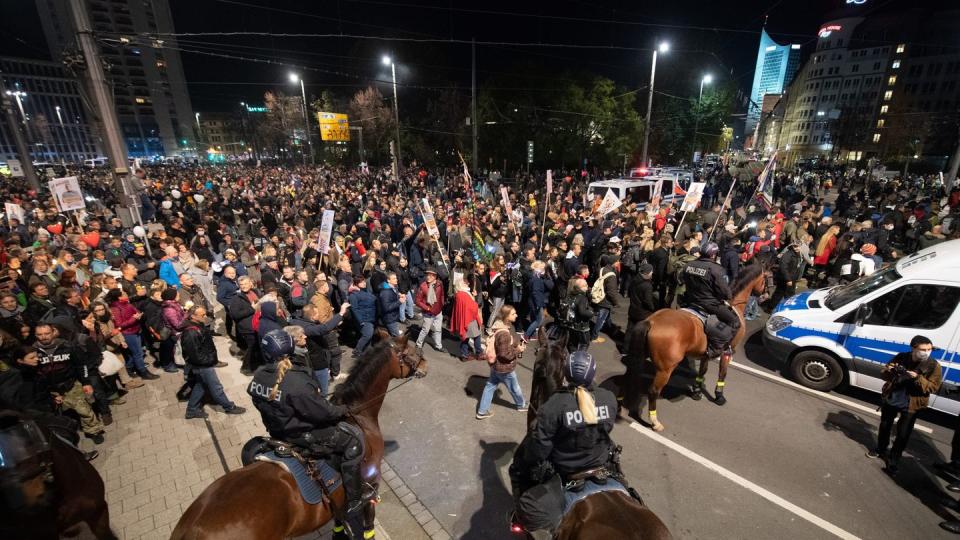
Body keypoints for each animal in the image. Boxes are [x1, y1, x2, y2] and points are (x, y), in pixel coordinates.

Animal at [171, 334, 426, 540]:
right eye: (413, 352)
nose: (425, 364)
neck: (359, 417)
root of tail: (191, 530)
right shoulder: (371, 486)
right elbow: (367, 523)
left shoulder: (338, 499)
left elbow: (339, 521)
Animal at [624, 262, 772, 430]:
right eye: (768, 277)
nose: (766, 296)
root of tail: (652, 321)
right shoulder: (727, 352)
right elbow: (722, 374)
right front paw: (719, 396)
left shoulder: (705, 354)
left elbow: (702, 371)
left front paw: (696, 391)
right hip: (665, 370)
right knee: (653, 391)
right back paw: (655, 422)